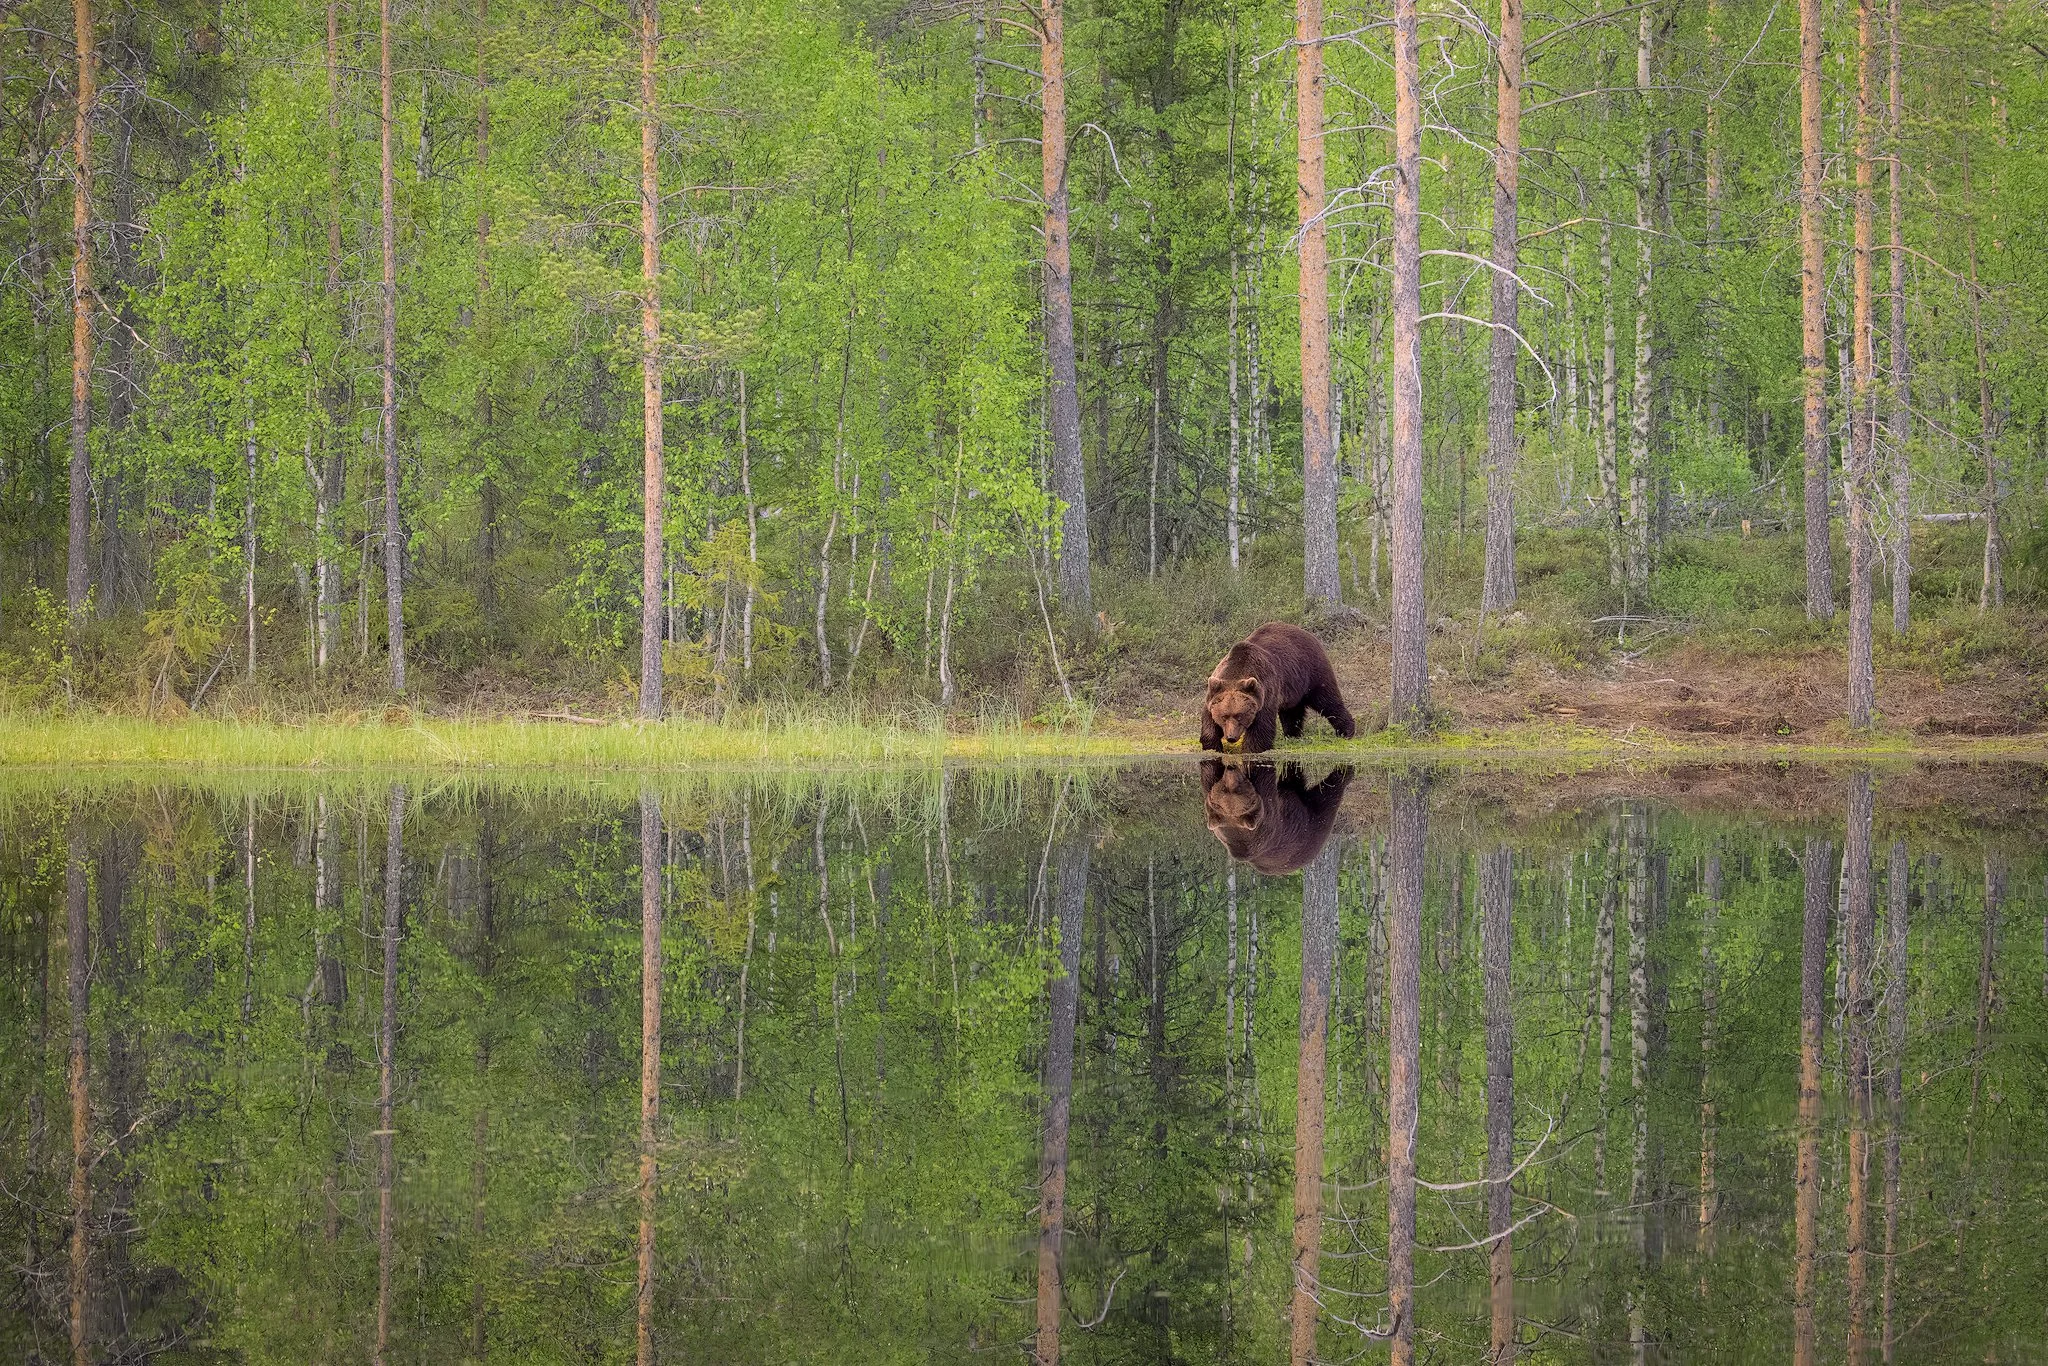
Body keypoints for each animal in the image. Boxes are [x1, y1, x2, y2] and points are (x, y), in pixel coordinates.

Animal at [1200, 621, 1355, 754]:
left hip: (1313, 672)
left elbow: (1261, 728)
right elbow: (1209, 725)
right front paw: (1213, 747)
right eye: (1224, 716)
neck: (1237, 671)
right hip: (1293, 685)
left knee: (1327, 701)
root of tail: (1307, 633)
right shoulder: (1214, 692)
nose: (1231, 737)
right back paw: (1292, 734)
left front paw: (1251, 749)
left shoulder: (1265, 694)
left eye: (1240, 715)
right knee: (1292, 711)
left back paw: (1346, 731)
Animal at [1201, 760, 1355, 876]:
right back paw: (1345, 772)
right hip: (1311, 824)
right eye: (1226, 789)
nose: (1230, 769)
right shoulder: (1271, 812)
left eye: (1235, 789)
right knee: (1327, 794)